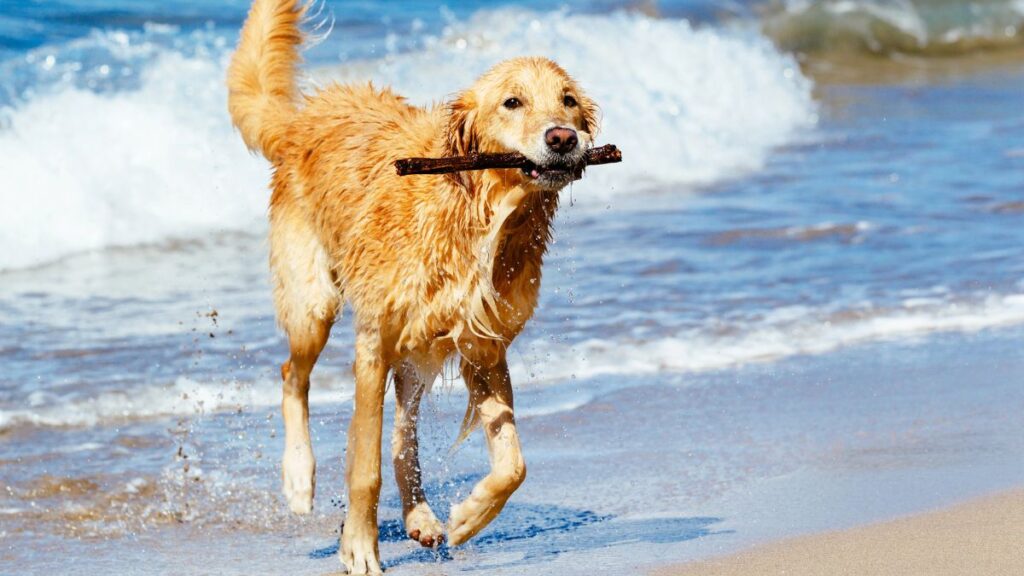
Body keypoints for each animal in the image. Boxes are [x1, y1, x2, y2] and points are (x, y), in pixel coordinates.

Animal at [230, 0, 598, 569]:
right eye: (512, 102)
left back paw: (421, 515)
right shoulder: (373, 343)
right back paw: (298, 477)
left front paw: (469, 516)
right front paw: (360, 549)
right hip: (314, 302)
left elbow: (513, 463)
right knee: (293, 372)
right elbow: (364, 466)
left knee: (404, 433)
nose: (563, 137)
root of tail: (303, 117)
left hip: (417, 349)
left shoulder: (483, 346)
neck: (480, 214)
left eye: (569, 100)